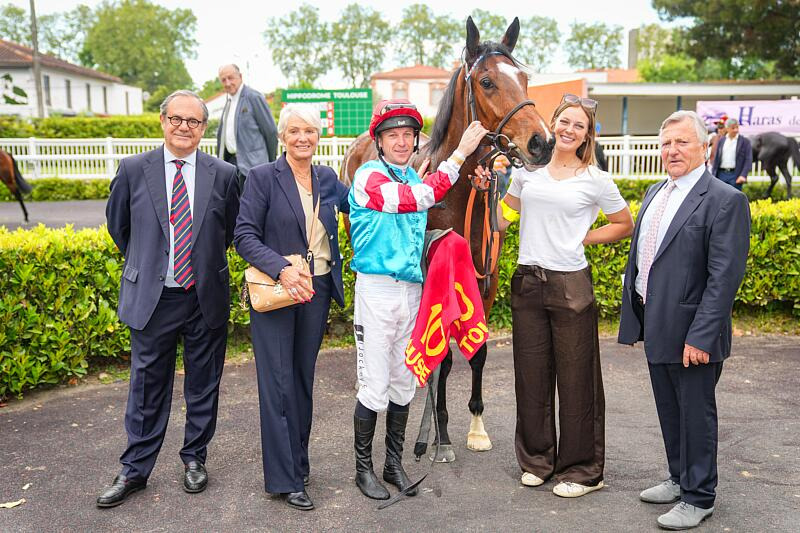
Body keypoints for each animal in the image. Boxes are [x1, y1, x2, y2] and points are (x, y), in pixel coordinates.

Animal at [339, 16, 554, 462]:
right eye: (487, 82)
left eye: (524, 78)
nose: (542, 142)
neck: (456, 196)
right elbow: (443, 356)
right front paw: (439, 432)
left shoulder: (485, 279)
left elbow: (478, 352)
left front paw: (476, 427)